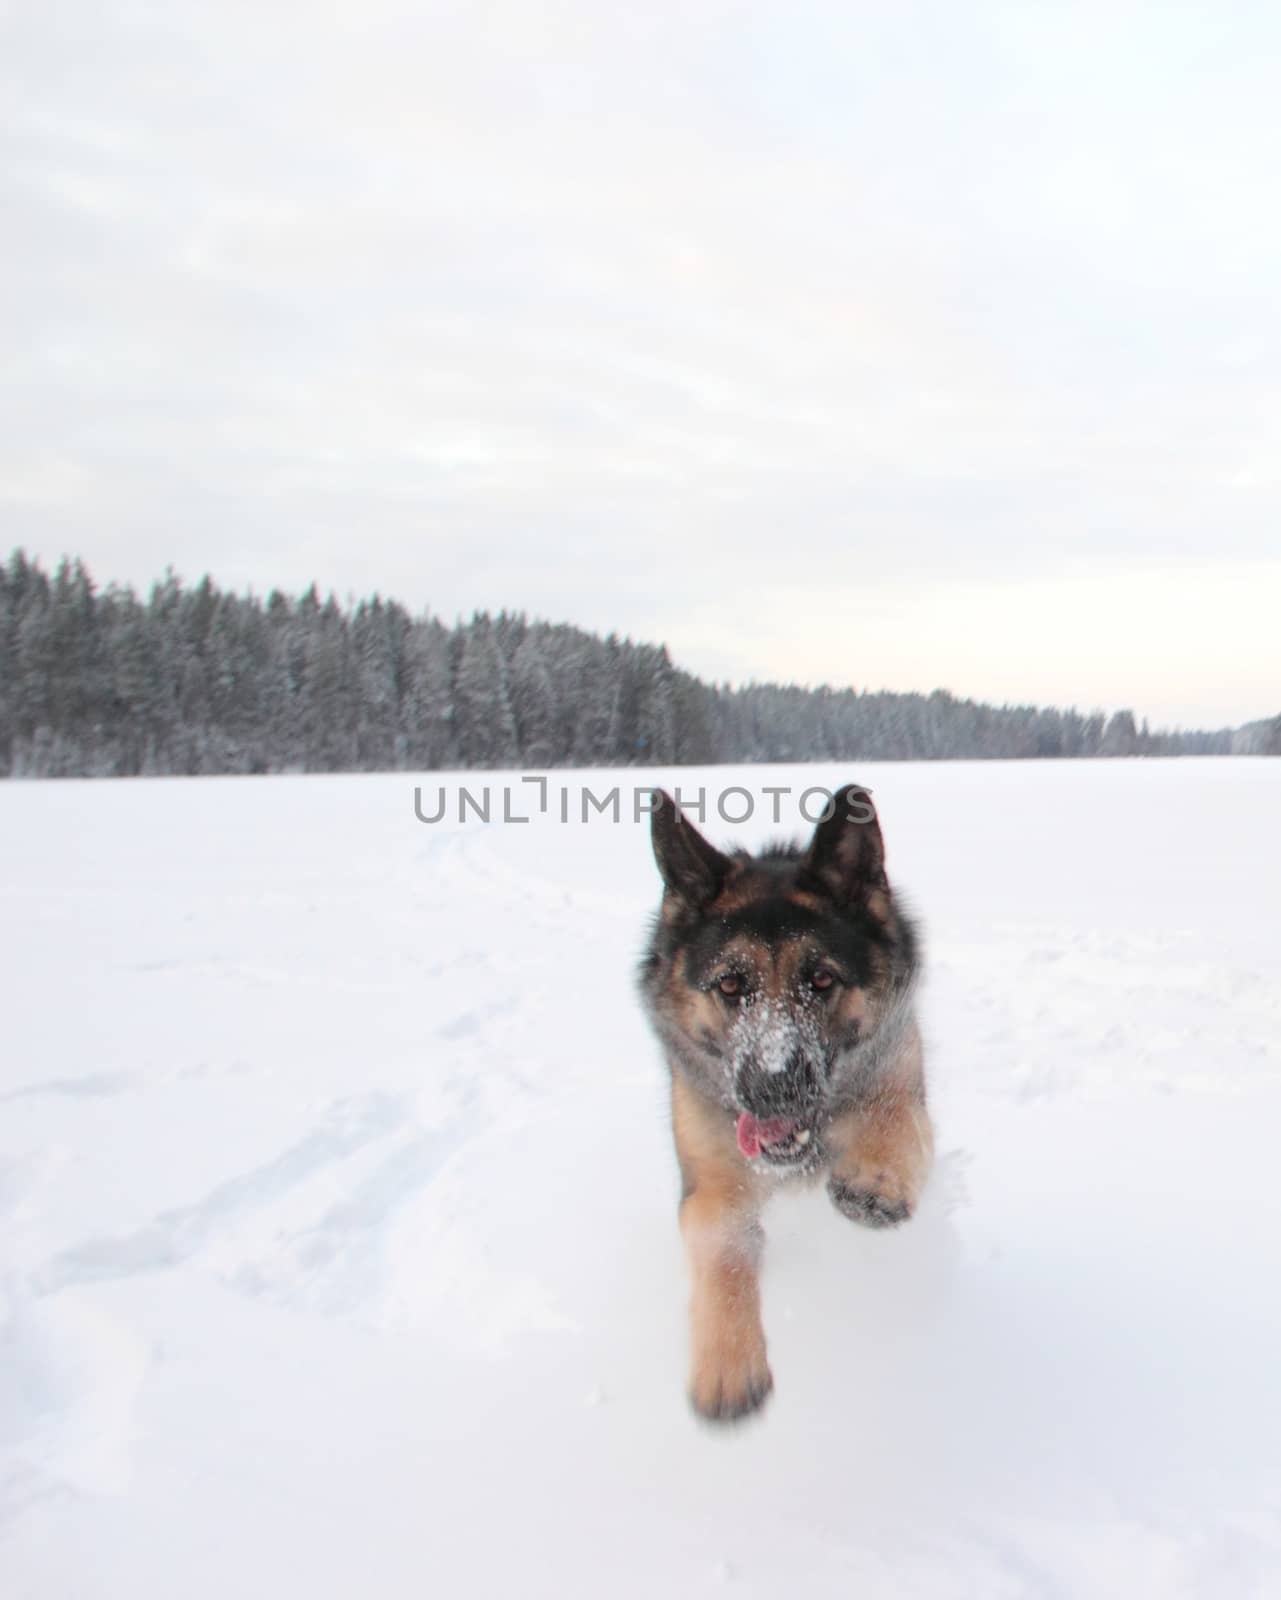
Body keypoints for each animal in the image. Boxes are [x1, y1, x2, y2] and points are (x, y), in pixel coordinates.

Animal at [636, 780, 927, 1420]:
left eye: (820, 979)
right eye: (729, 984)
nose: (774, 1088)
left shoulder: (898, 1069)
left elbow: (893, 1118)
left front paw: (873, 1180)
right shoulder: (711, 1184)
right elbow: (722, 1253)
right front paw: (726, 1364)